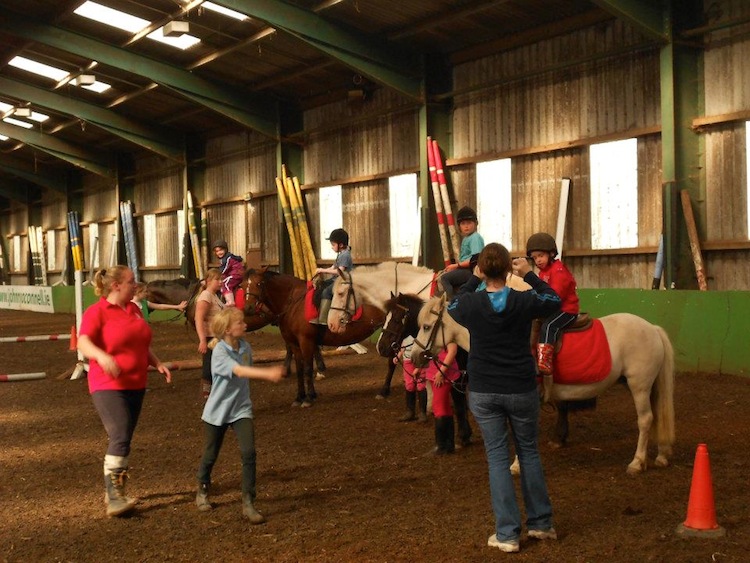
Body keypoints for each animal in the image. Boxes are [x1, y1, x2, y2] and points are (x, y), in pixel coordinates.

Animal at [247, 266, 384, 408]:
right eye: (244, 284)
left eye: (259, 284)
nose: (248, 308)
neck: (294, 303)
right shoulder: (294, 343)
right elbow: (300, 370)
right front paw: (299, 397)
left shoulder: (305, 341)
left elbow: (307, 368)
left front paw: (308, 398)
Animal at [412, 296, 676, 476]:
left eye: (426, 326)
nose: (414, 356)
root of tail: (652, 328)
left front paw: (516, 465)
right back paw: (662, 455)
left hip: (639, 385)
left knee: (646, 420)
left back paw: (637, 462)